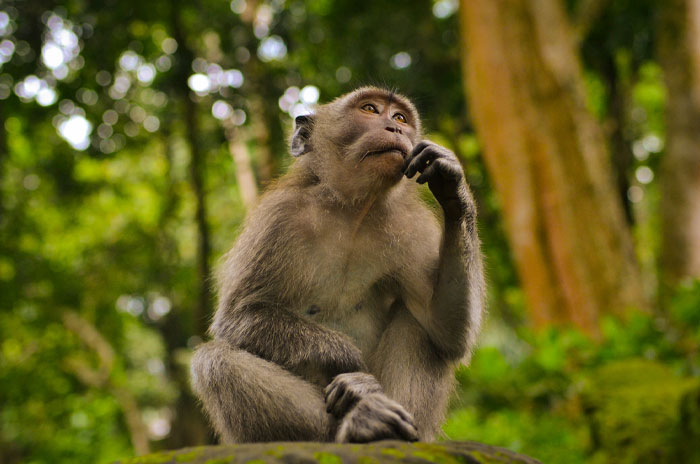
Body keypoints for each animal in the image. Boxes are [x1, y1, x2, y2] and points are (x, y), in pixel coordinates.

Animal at [190, 86, 484, 444]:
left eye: (400, 117)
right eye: (370, 110)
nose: (395, 128)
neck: (352, 211)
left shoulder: (411, 227)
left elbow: (447, 330)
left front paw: (452, 183)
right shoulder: (277, 217)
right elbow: (239, 316)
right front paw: (352, 365)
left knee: (418, 324)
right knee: (214, 360)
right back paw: (359, 421)